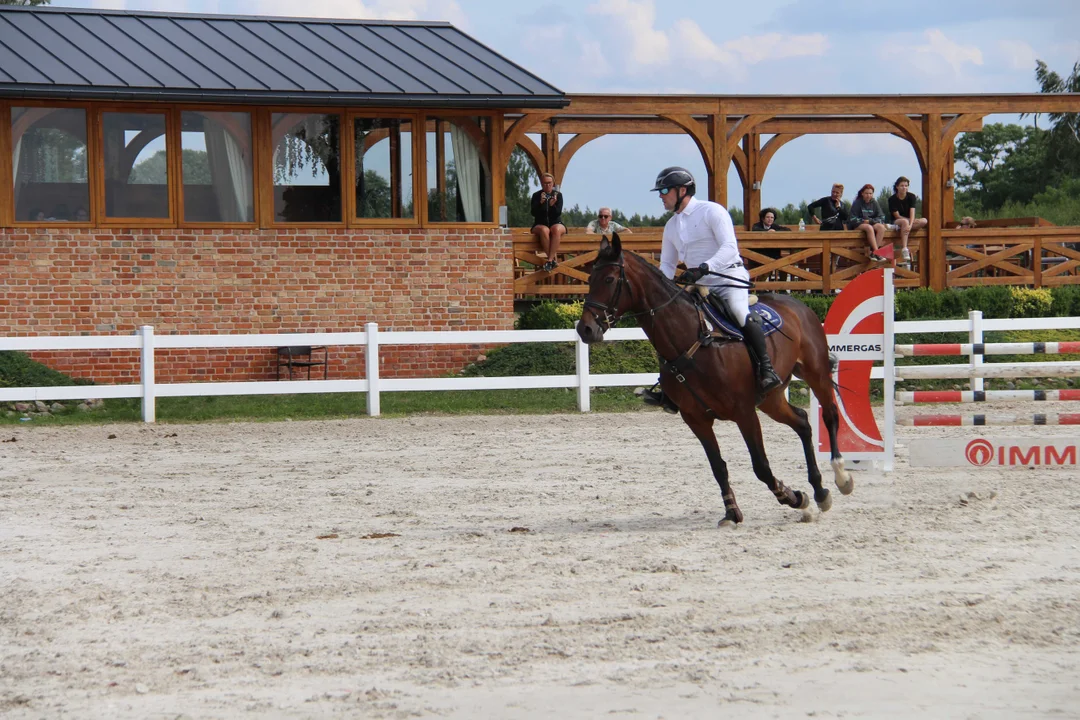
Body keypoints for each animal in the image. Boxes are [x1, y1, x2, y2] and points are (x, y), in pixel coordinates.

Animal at [578, 234, 846, 526]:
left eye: (609, 279)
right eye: (590, 279)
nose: (585, 329)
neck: (695, 339)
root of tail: (798, 305)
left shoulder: (744, 413)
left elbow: (761, 466)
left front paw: (793, 497)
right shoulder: (696, 419)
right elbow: (718, 466)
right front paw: (732, 511)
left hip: (815, 374)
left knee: (829, 415)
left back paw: (840, 477)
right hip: (771, 401)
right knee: (802, 422)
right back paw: (819, 490)